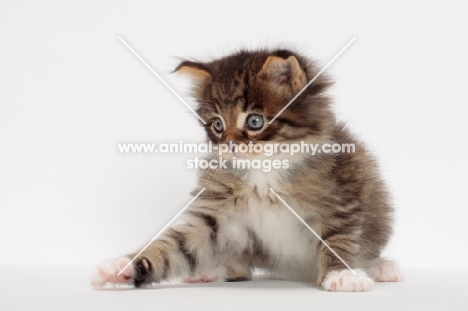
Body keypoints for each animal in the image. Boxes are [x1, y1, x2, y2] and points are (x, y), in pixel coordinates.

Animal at [91, 48, 402, 292]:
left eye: (254, 121)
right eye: (217, 125)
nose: (229, 145)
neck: (263, 170)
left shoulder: (338, 199)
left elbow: (339, 238)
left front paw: (342, 274)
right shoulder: (215, 213)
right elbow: (177, 245)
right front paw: (124, 267)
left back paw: (381, 267)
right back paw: (212, 270)